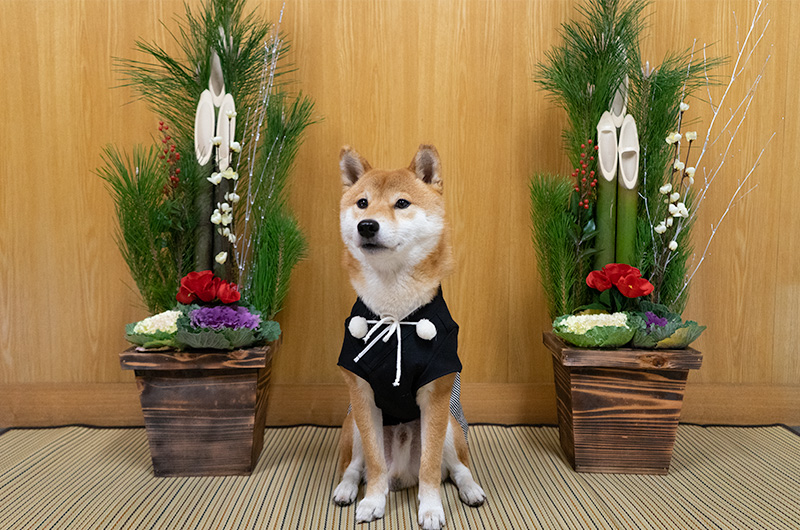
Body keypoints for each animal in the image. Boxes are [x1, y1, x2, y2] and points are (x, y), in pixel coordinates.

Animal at [332, 144, 484, 528]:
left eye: (402, 203)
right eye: (362, 203)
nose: (367, 225)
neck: (395, 314)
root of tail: (402, 475)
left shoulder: (436, 394)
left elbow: (430, 467)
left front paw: (430, 509)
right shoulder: (362, 395)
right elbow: (373, 465)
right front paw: (372, 502)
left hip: (451, 429)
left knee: (457, 469)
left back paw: (471, 490)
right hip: (352, 424)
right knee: (355, 467)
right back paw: (346, 489)